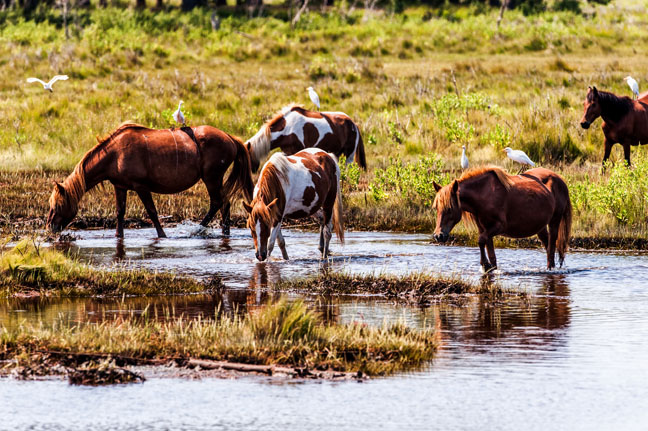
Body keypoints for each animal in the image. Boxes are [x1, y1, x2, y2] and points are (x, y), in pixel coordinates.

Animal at [45, 123, 252, 240]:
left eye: (58, 205)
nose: (49, 227)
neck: (115, 154)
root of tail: (230, 138)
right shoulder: (120, 187)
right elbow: (120, 212)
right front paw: (118, 236)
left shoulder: (141, 187)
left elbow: (152, 212)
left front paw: (162, 235)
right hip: (215, 179)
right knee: (225, 203)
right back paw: (225, 232)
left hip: (211, 177)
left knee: (217, 202)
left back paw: (198, 230)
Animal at [432, 167, 568, 272]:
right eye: (436, 208)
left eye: (449, 208)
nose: (438, 236)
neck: (485, 194)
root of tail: (559, 179)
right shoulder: (484, 228)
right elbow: (490, 250)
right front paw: (490, 267)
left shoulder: (498, 227)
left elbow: (480, 241)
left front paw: (485, 264)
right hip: (540, 226)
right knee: (547, 244)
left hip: (554, 221)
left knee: (551, 246)